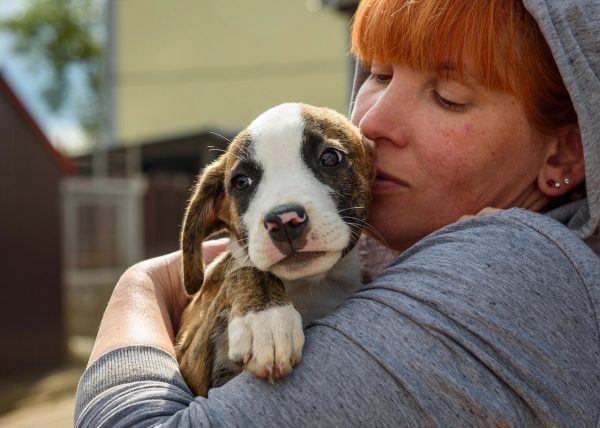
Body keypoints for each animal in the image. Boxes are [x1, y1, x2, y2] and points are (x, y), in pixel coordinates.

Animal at [175, 102, 376, 396]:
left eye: (329, 158)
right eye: (241, 182)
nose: (284, 221)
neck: (309, 287)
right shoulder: (189, 358)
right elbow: (248, 271)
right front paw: (266, 321)